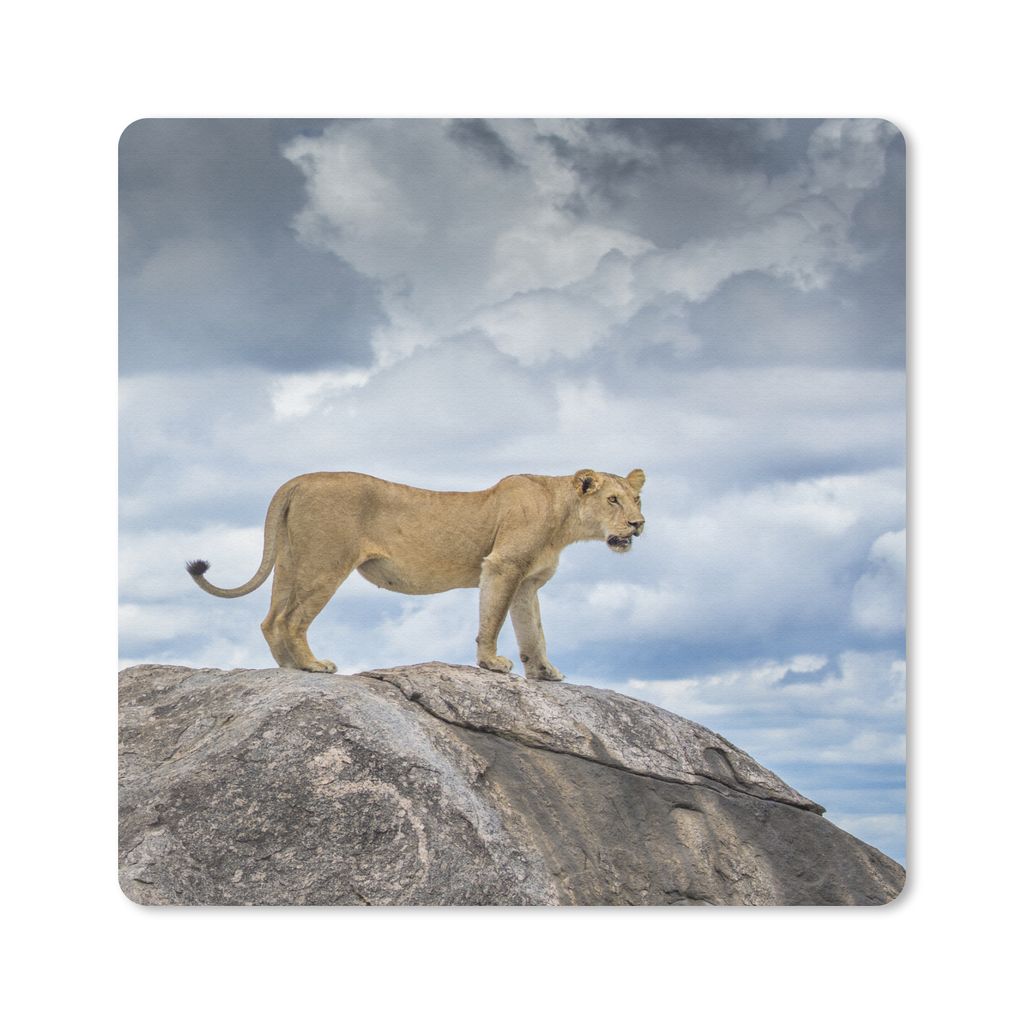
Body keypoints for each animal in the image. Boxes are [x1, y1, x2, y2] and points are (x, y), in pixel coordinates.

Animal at [186, 468, 646, 679]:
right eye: (612, 500)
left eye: (637, 498)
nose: (639, 524)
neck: (563, 519)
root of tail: (299, 480)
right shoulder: (502, 565)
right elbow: (493, 619)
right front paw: (491, 663)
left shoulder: (527, 583)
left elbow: (533, 632)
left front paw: (545, 672)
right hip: (325, 561)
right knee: (291, 619)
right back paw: (314, 666)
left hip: (290, 560)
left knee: (270, 619)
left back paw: (290, 670)